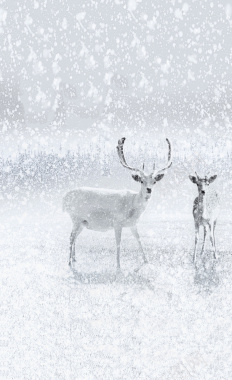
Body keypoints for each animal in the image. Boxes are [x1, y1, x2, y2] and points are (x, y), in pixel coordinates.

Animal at [63, 137, 172, 268]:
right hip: (76, 218)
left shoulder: (133, 224)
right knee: (71, 237)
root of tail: (64, 198)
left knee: (74, 237)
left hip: (83, 222)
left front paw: (146, 260)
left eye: (154, 181)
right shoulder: (117, 222)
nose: (149, 190)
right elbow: (118, 242)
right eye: (141, 180)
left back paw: (74, 258)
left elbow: (138, 239)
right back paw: (69, 262)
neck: (132, 208)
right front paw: (119, 265)